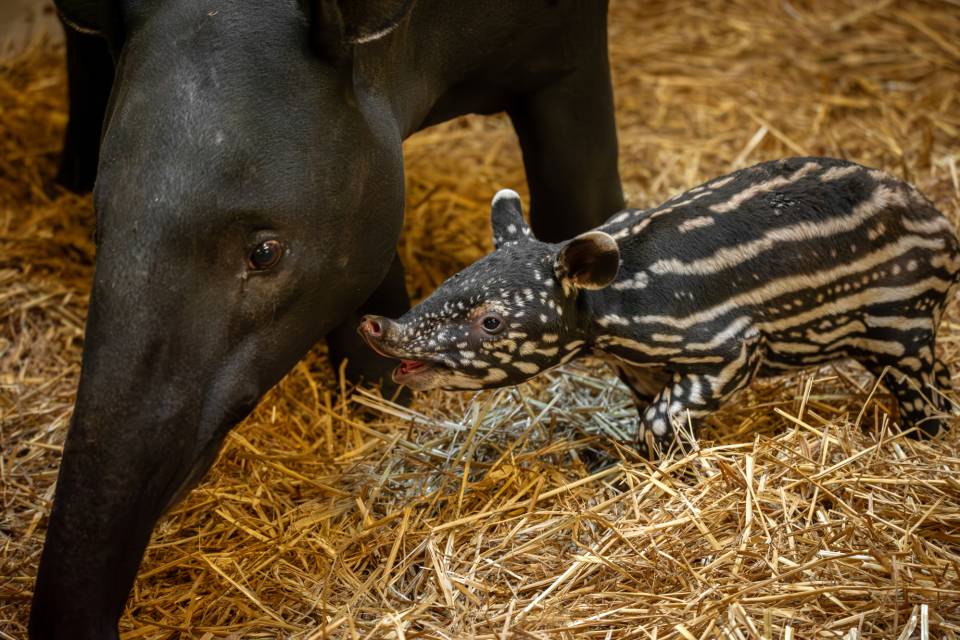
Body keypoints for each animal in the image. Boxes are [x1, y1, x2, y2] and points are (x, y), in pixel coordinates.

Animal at [360, 158, 960, 452]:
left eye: (491, 322)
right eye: (450, 279)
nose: (376, 326)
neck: (619, 306)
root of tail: (944, 231)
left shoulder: (730, 346)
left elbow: (661, 419)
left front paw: (650, 457)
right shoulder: (640, 364)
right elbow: (652, 410)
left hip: (899, 318)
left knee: (921, 390)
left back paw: (922, 438)